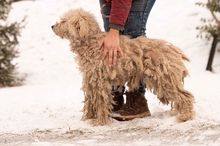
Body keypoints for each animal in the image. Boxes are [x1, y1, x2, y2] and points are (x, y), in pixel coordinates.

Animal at [52, 8, 196, 126]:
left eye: (64, 21)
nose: (52, 26)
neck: (92, 42)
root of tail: (173, 50)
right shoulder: (91, 79)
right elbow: (92, 100)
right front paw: (89, 117)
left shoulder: (99, 81)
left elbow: (100, 101)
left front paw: (99, 121)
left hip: (165, 79)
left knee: (185, 96)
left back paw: (186, 116)